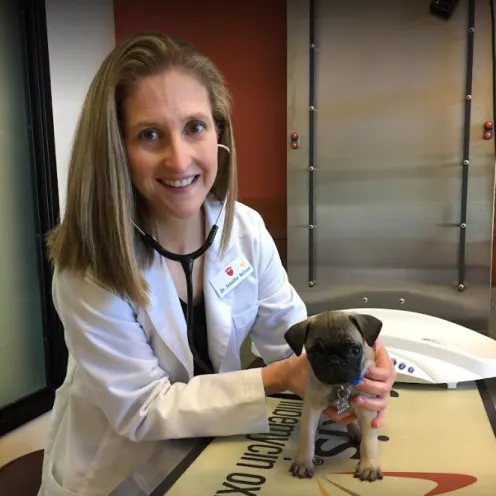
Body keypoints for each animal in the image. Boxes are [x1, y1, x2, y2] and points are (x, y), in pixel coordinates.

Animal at [282, 312, 384, 482]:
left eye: (355, 350)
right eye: (315, 353)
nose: (334, 362)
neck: (339, 386)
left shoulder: (366, 408)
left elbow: (369, 442)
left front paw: (369, 466)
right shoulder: (311, 409)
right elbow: (307, 438)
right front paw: (303, 462)